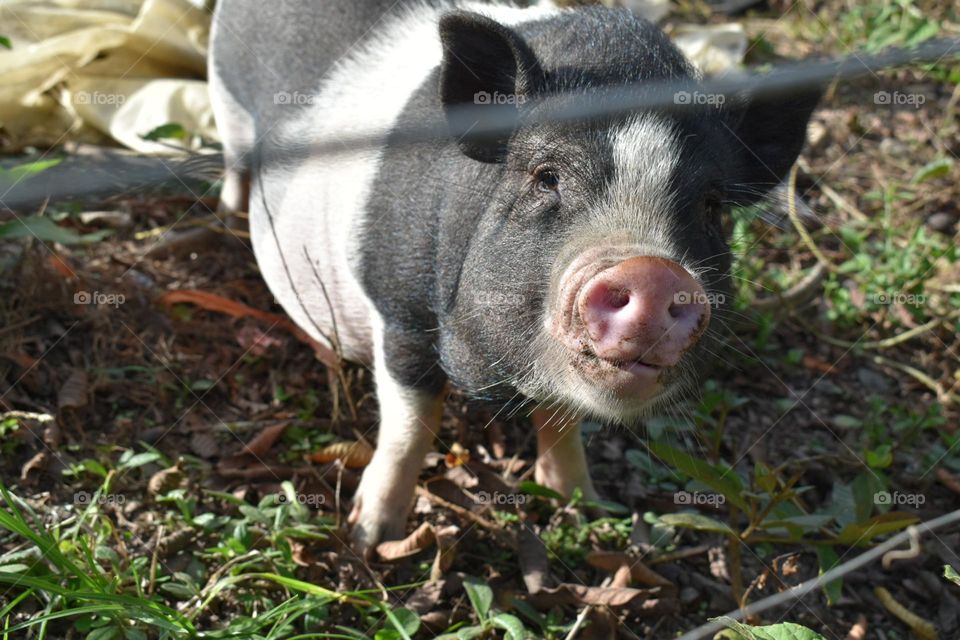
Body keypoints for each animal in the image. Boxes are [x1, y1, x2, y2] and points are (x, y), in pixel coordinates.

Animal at [208, 0, 819, 551]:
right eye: (545, 177)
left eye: (712, 208)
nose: (654, 272)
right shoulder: (398, 313)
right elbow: (411, 423)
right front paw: (370, 538)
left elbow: (562, 419)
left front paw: (585, 506)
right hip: (226, 102)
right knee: (236, 161)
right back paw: (228, 217)